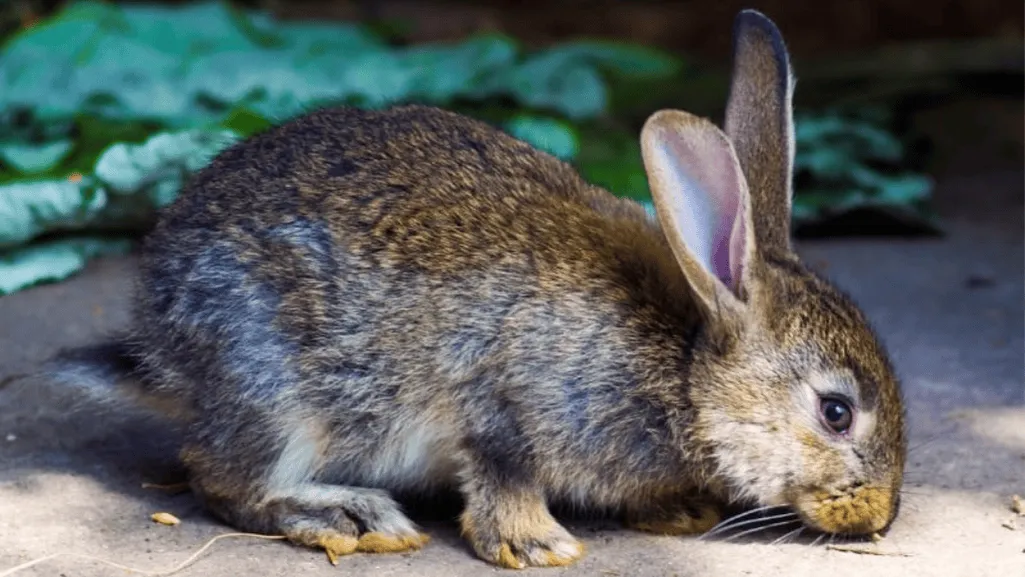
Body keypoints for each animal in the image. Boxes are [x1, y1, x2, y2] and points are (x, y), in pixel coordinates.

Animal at [48, 9, 906, 569]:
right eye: (835, 412)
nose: (879, 515)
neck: (686, 365)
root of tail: (164, 350)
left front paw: (674, 509)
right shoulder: (507, 399)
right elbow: (501, 471)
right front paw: (537, 542)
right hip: (276, 387)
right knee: (224, 477)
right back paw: (348, 514)